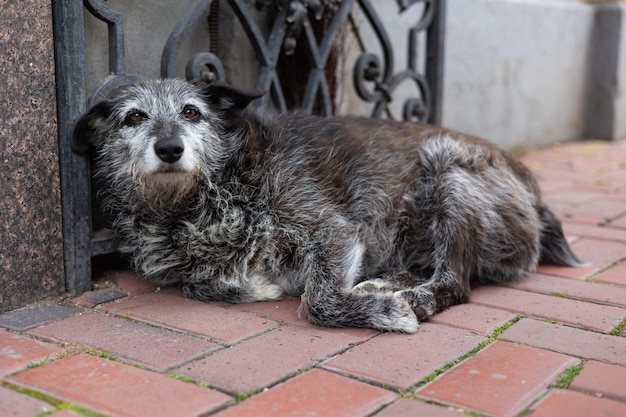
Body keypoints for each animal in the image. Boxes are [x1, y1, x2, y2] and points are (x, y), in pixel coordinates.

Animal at [70, 78, 584, 332]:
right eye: (134, 117)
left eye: (192, 112)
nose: (170, 148)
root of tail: (537, 198)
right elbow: (197, 284)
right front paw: (256, 287)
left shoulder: (329, 229)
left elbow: (318, 301)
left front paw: (382, 314)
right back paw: (385, 284)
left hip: (447, 167)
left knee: (455, 283)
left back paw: (412, 299)